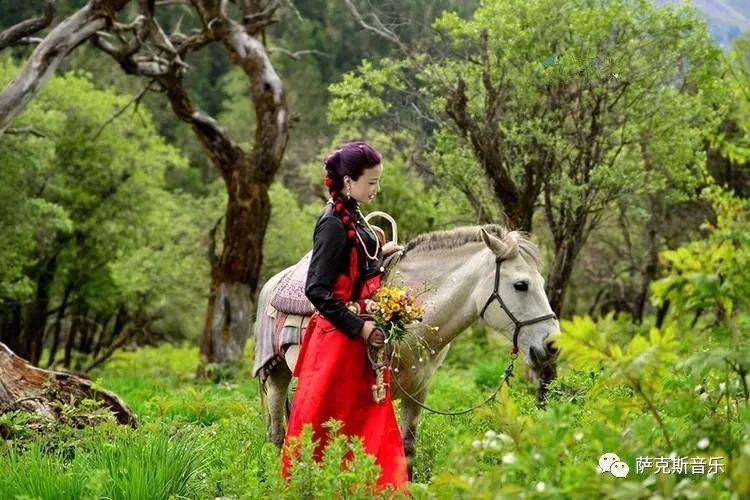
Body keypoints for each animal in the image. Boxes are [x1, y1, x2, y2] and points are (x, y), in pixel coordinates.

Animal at [256, 225, 560, 466]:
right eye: (521, 285)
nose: (552, 345)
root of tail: (273, 283)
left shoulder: (418, 393)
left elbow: (407, 449)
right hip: (276, 376)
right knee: (277, 433)